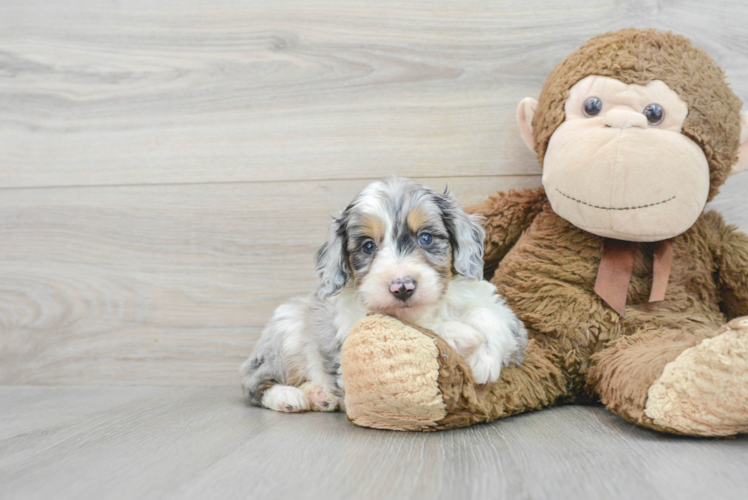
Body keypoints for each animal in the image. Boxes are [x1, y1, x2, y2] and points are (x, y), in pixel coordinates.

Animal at [240, 178, 524, 412]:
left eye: (425, 238)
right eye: (368, 246)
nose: (402, 288)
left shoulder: (508, 320)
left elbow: (488, 314)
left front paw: (484, 358)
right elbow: (413, 328)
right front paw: (461, 335)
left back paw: (321, 396)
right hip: (285, 331)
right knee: (253, 382)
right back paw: (288, 397)